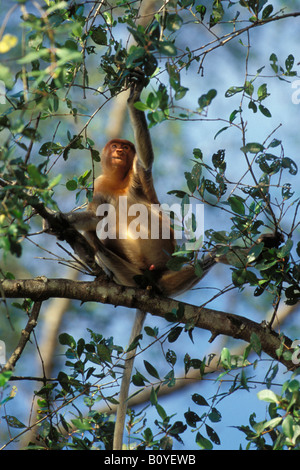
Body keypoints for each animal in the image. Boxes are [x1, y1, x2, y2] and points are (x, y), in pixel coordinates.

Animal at [43, 71, 282, 450]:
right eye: (116, 146)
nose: (120, 151)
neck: (119, 181)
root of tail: (153, 279)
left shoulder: (136, 177)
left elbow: (146, 162)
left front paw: (134, 93)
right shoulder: (100, 185)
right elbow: (93, 217)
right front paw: (59, 221)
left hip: (172, 270)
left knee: (211, 255)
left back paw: (261, 246)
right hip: (129, 271)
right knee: (98, 237)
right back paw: (119, 277)